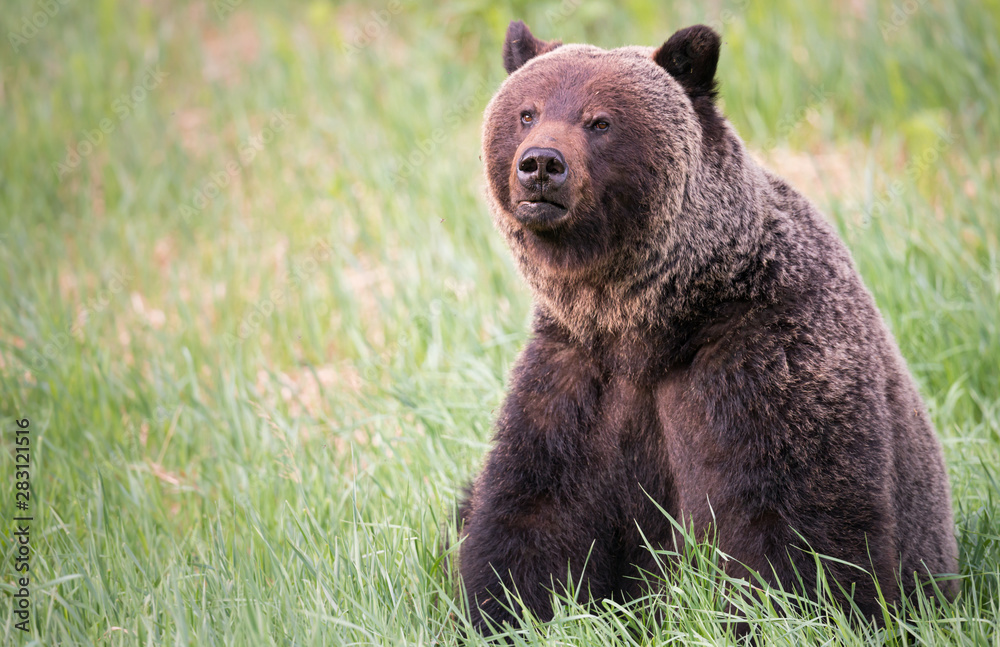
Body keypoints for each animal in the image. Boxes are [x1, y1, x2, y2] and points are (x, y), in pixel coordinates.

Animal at [458, 21, 956, 636]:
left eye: (600, 121)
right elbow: (534, 509)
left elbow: (792, 529)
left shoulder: (765, 358)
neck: (650, 321)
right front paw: (506, 611)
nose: (542, 164)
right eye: (527, 112)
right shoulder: (575, 373)